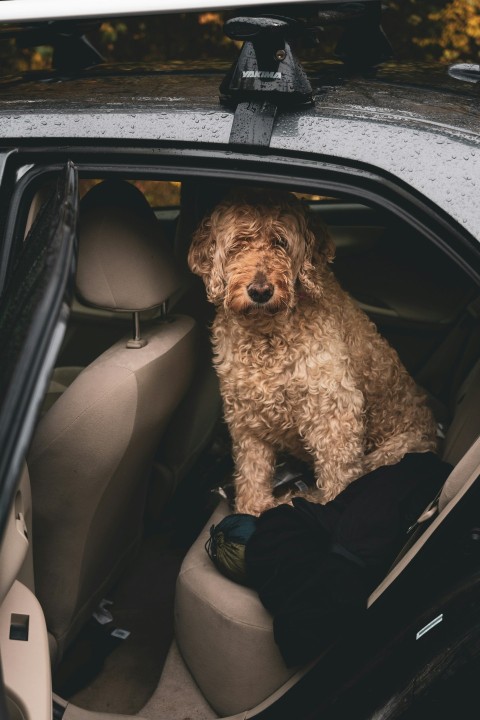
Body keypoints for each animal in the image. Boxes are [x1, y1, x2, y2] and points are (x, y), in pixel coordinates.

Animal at [188, 190, 438, 516]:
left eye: (281, 242)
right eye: (239, 243)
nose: (260, 291)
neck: (265, 334)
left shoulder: (335, 410)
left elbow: (337, 478)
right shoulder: (245, 417)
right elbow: (251, 474)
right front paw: (253, 508)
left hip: (393, 452)